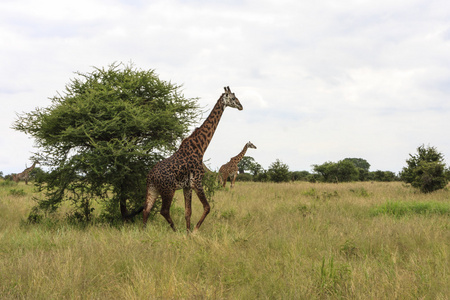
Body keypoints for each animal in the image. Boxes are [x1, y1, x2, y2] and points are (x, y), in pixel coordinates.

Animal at [143, 86, 243, 232]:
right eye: (233, 98)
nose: (241, 106)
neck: (201, 147)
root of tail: (150, 176)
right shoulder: (197, 181)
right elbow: (207, 207)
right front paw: (194, 230)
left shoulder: (187, 186)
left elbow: (188, 212)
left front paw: (188, 232)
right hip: (168, 190)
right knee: (164, 210)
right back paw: (175, 231)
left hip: (152, 189)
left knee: (146, 209)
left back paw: (142, 231)